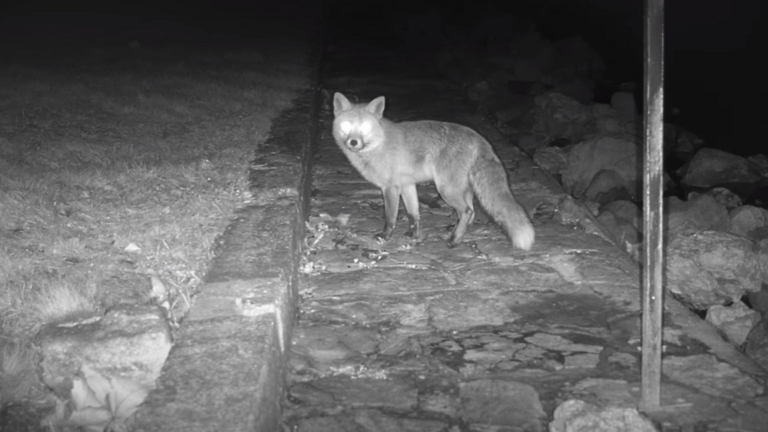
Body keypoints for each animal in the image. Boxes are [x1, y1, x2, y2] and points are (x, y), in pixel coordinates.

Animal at [332, 93, 536, 251]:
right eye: (347, 126)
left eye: (364, 128)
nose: (353, 142)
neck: (378, 143)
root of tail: (480, 138)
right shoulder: (407, 185)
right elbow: (413, 214)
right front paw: (413, 234)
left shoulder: (390, 187)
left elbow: (390, 217)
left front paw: (385, 236)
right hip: (461, 189)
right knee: (471, 212)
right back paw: (457, 232)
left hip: (446, 190)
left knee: (468, 211)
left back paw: (454, 240)